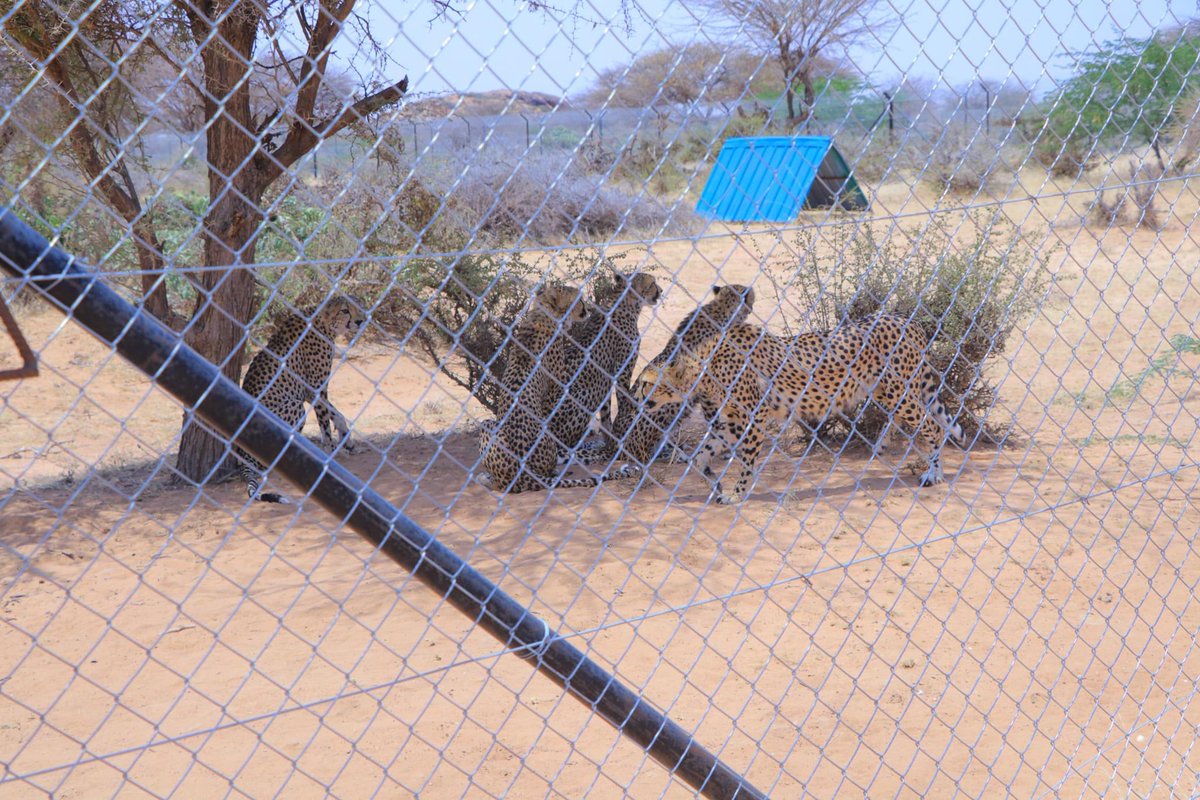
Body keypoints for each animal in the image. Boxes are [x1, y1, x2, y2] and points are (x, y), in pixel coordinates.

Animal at [238, 294, 366, 504]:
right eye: (345, 310)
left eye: (360, 307)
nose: (360, 321)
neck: (325, 323)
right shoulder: (315, 389)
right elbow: (325, 425)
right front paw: (330, 455)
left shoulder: (309, 392)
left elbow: (337, 414)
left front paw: (346, 439)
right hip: (294, 406)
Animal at [478, 284, 642, 494]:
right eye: (578, 300)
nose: (587, 309)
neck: (544, 313)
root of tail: (521, 473)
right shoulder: (556, 390)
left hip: (489, 426)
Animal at [635, 314, 965, 504]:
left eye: (644, 383)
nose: (634, 396)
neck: (704, 371)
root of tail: (907, 320)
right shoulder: (728, 425)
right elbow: (699, 457)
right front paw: (714, 484)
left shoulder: (754, 420)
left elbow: (746, 462)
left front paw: (737, 493)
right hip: (888, 391)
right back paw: (883, 445)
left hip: (898, 391)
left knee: (932, 426)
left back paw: (934, 474)